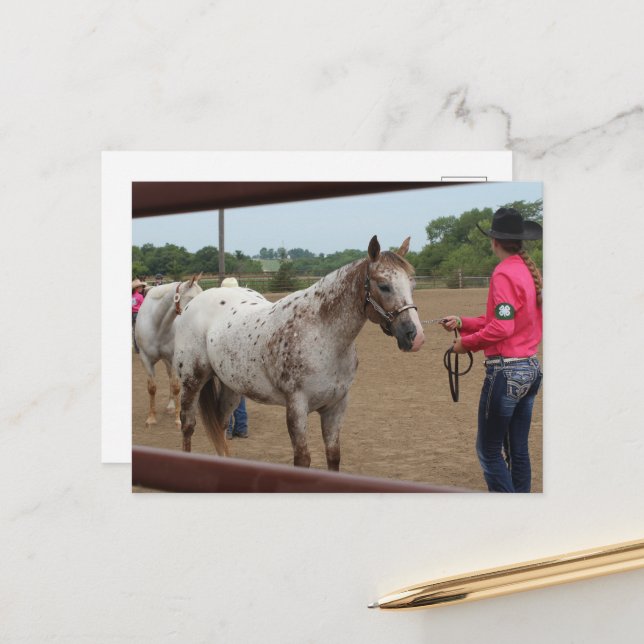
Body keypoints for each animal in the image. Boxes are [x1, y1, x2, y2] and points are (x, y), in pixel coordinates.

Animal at [134, 274, 203, 428]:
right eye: (192, 298)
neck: (157, 324)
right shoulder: (145, 359)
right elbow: (152, 388)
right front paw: (151, 419)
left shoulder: (173, 357)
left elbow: (176, 386)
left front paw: (178, 419)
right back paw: (171, 405)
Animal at [173, 236, 425, 470]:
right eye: (383, 285)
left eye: (412, 285)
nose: (415, 336)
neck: (321, 334)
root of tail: (193, 304)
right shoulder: (297, 406)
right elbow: (302, 460)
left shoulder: (336, 406)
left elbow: (333, 456)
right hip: (192, 380)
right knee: (188, 425)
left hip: (232, 387)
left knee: (221, 425)